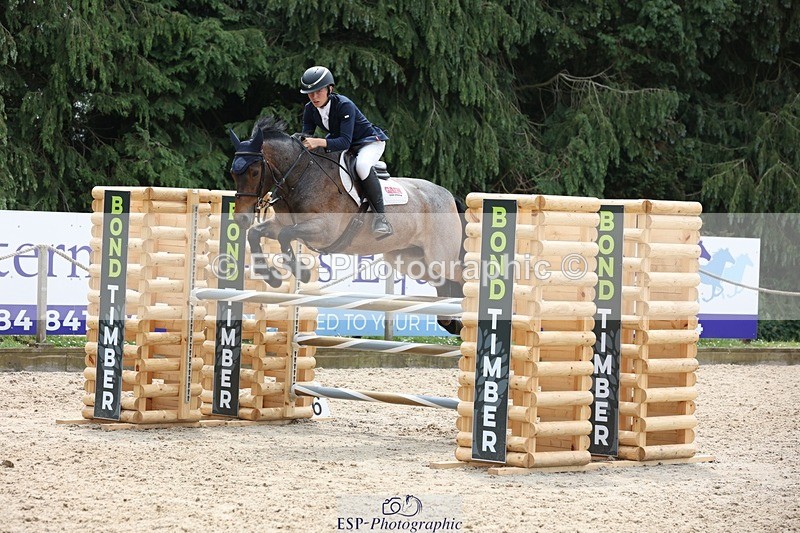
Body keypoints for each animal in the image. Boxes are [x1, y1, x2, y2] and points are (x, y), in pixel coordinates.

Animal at [228, 117, 466, 335]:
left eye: (255, 172)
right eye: (233, 173)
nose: (241, 218)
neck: (301, 176)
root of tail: (448, 195)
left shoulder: (324, 230)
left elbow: (285, 236)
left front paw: (302, 273)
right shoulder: (281, 224)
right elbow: (256, 234)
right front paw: (272, 277)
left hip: (439, 258)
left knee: (460, 278)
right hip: (412, 261)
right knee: (443, 284)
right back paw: (451, 322)